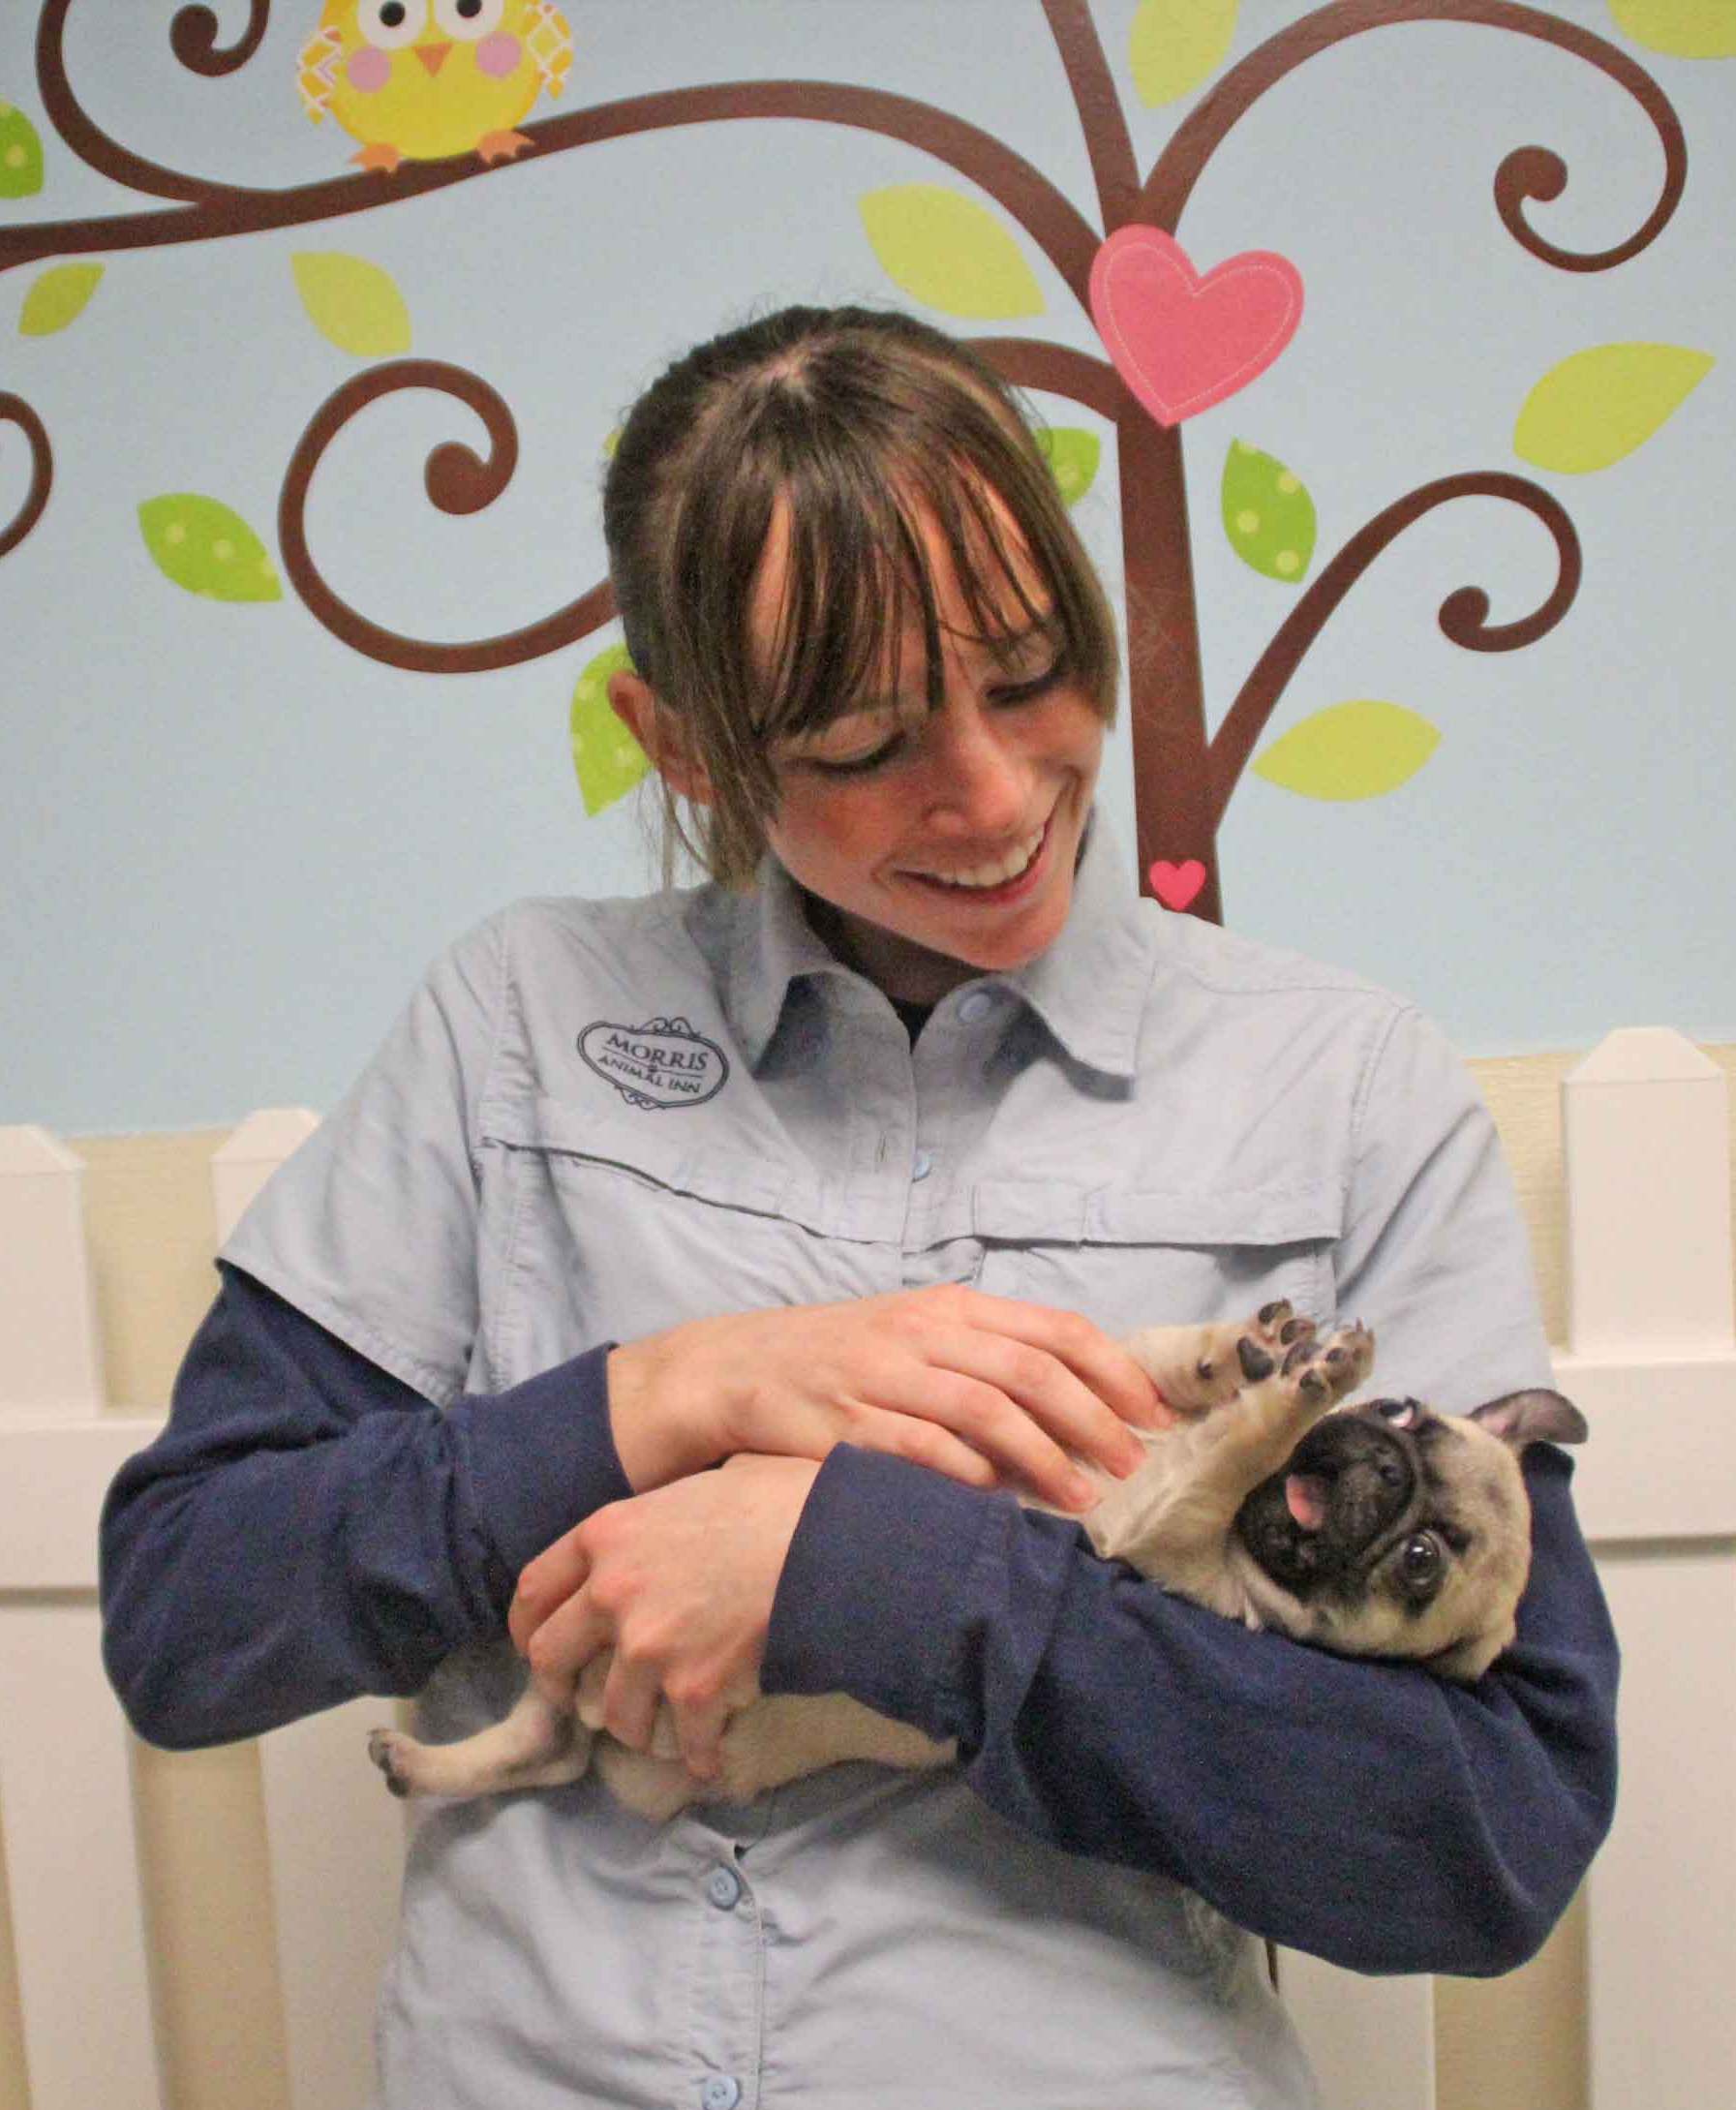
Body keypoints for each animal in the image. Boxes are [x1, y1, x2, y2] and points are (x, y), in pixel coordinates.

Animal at [369, 1300, 1586, 1814]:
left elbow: (1236, 1449)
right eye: (1404, 1413)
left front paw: (1288, 1389)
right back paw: (426, 1762)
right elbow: (1167, 1367)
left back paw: (426, 1766)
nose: (1377, 1460)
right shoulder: (1129, 1400)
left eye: (1419, 1561)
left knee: (547, 1755)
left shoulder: (1170, 1529)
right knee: (536, 1740)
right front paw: (1252, 1347)